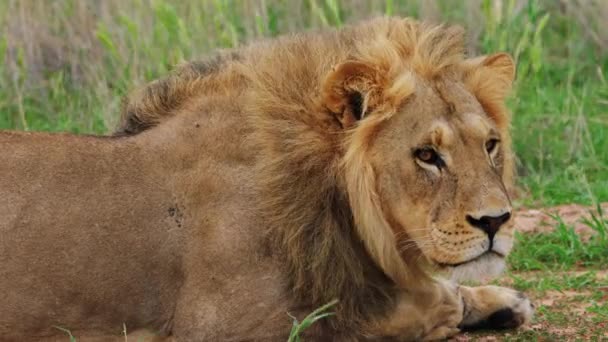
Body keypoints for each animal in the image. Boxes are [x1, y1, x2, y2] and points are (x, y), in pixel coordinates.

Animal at [0, 17, 532, 340]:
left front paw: (501, 300)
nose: (496, 221)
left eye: (489, 144)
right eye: (426, 155)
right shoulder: (222, 327)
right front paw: (446, 307)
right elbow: (394, 309)